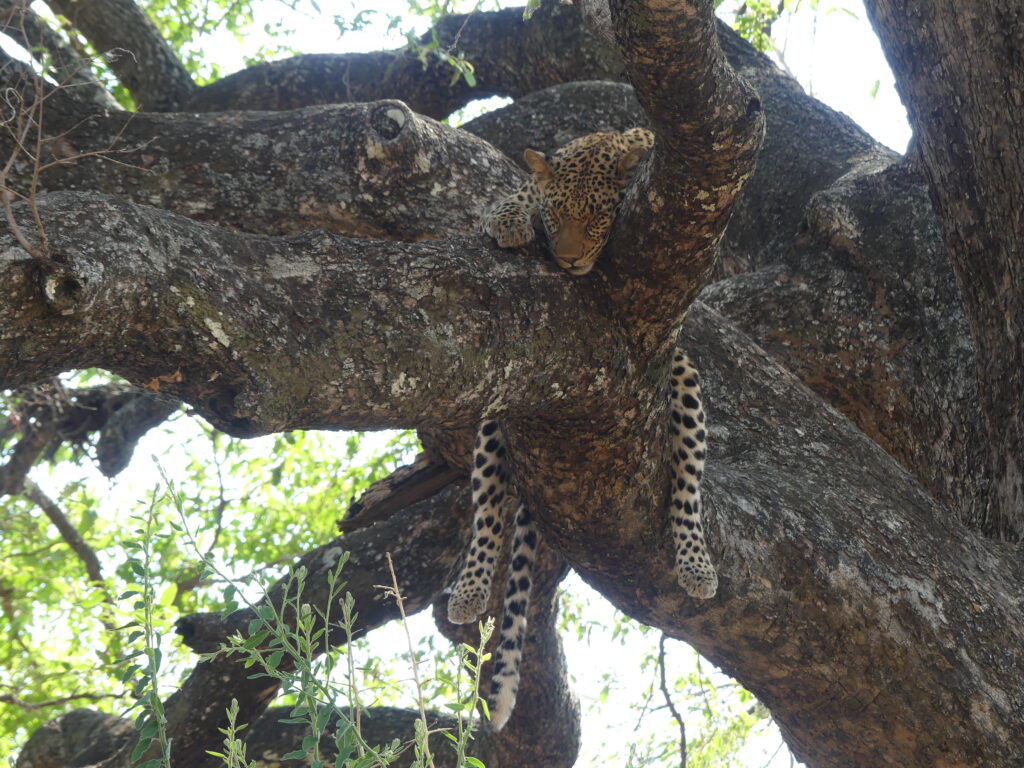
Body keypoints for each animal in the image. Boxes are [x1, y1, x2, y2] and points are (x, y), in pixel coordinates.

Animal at [448, 128, 717, 732]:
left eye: (598, 217)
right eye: (557, 216)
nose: (568, 259)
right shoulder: (526, 187)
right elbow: (508, 199)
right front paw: (511, 223)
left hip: (683, 377)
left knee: (687, 483)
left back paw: (697, 565)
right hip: (499, 414)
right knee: (487, 512)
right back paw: (470, 590)